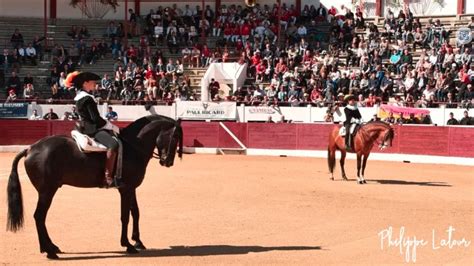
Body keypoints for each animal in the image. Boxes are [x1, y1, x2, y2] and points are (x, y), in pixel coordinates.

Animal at [6, 115, 183, 260]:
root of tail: (30, 148)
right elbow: (125, 216)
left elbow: (136, 213)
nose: (168, 162)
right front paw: (128, 245)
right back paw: (49, 251)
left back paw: (51, 247)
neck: (133, 147)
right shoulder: (125, 189)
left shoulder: (131, 188)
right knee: (39, 217)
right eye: (174, 137)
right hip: (47, 192)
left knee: (40, 218)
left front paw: (138, 241)